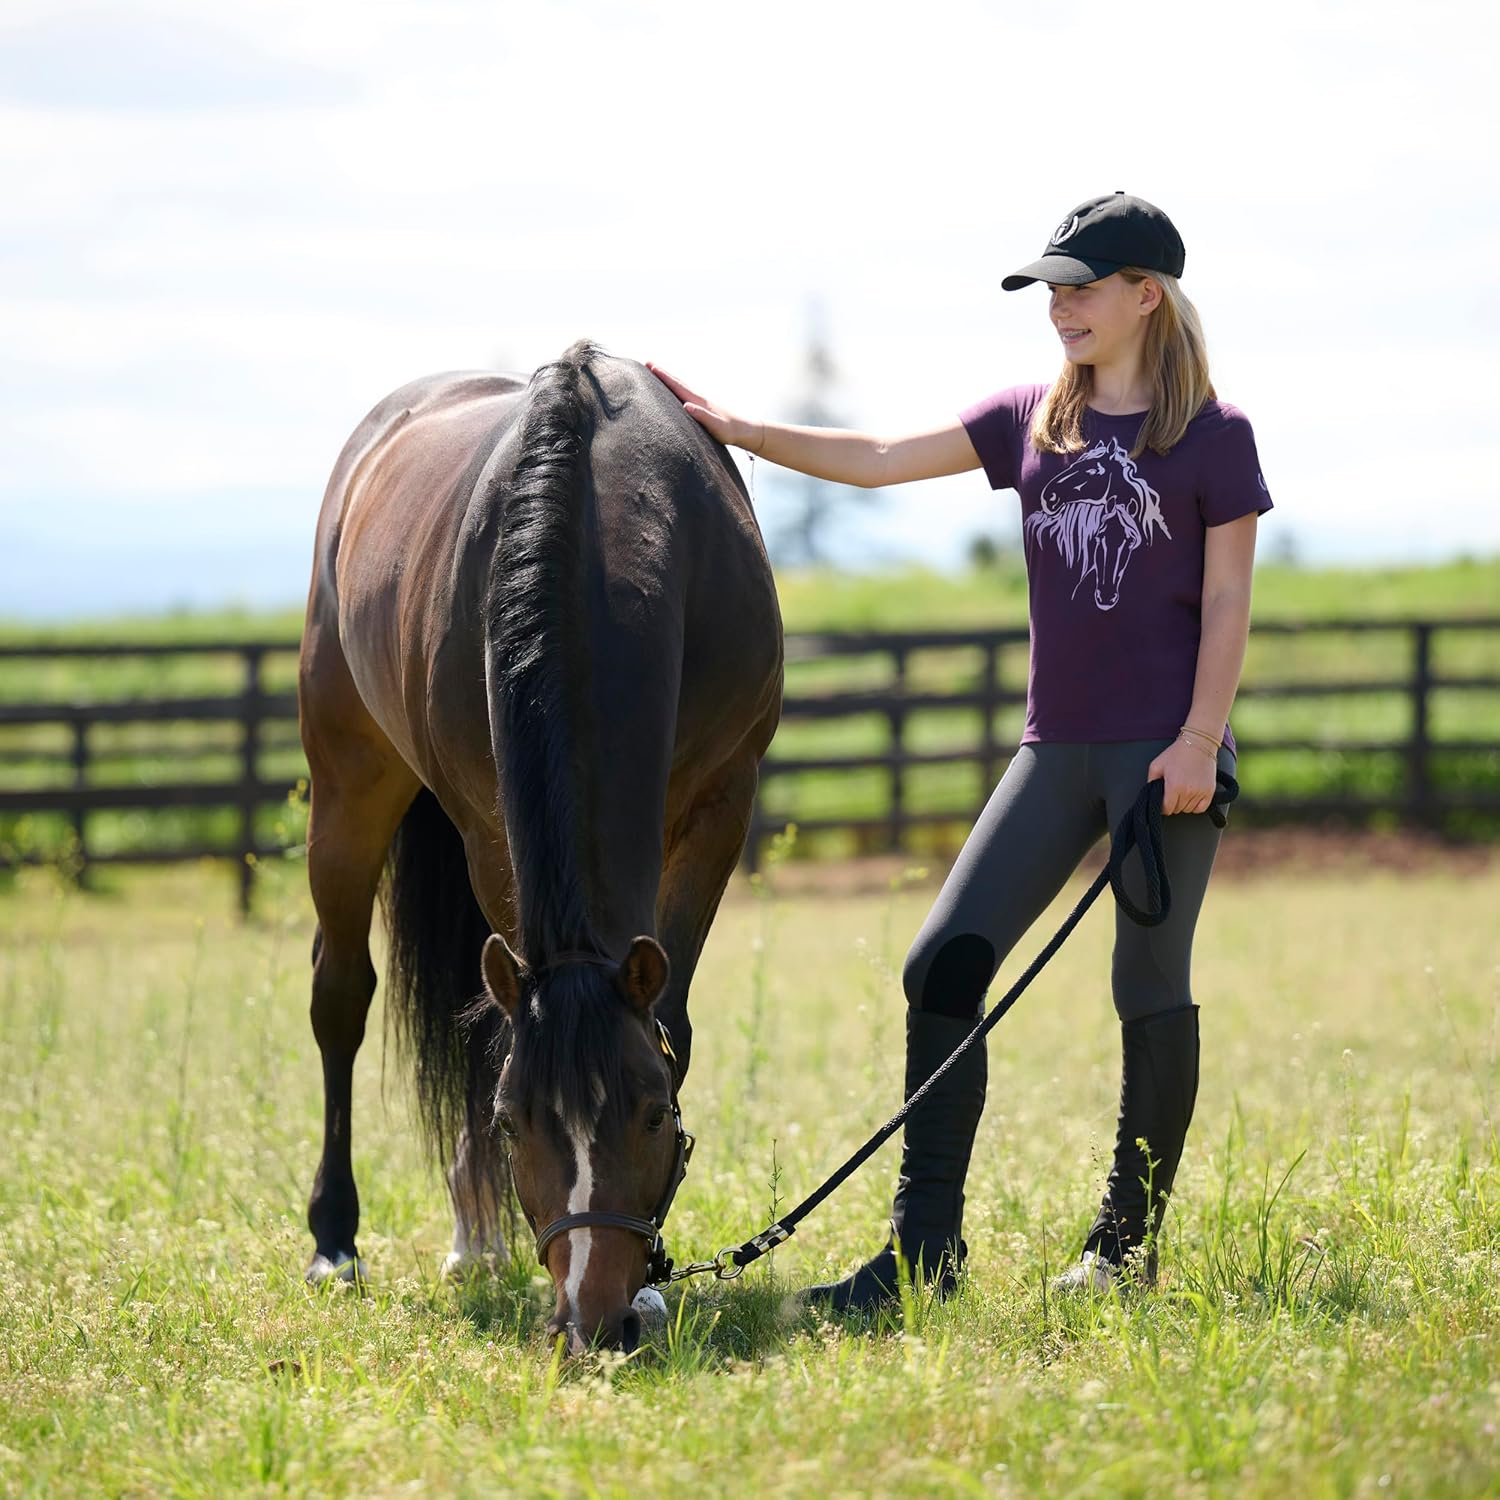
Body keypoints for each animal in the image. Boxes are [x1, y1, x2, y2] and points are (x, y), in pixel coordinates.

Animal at [296, 341, 784, 1353]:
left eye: (655, 1115)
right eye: (515, 1122)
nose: (592, 1319)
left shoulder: (723, 803)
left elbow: (670, 1022)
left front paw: (656, 1281)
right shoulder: (489, 832)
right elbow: (493, 1037)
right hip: (348, 781)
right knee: (342, 996)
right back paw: (343, 1242)